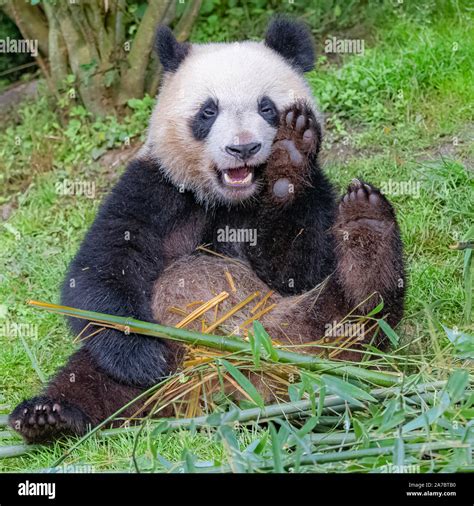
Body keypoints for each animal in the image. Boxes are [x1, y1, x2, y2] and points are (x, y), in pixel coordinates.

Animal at [9, 17, 406, 442]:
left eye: (266, 107)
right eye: (208, 111)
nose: (242, 148)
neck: (229, 199)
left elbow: (301, 267)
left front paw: (292, 155)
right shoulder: (154, 186)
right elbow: (102, 269)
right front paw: (141, 357)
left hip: (305, 329)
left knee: (356, 315)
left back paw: (367, 237)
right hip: (147, 363)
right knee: (90, 382)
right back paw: (47, 416)